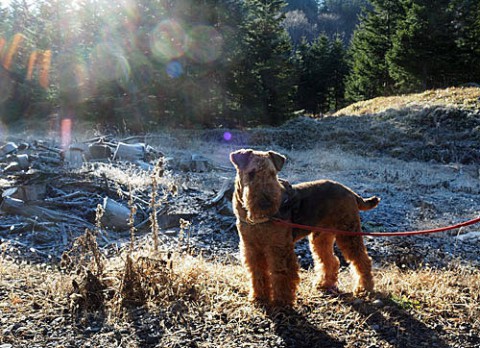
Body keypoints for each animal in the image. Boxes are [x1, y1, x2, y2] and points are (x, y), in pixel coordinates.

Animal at [231, 148, 380, 306]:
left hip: (348, 233)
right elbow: (258, 274)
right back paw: (324, 284)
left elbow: (282, 273)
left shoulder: (279, 247)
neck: (255, 220)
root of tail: (350, 192)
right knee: (332, 260)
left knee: (362, 260)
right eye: (251, 173)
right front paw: (258, 298)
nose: (266, 203)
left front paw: (282, 302)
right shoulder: (251, 248)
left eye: (272, 174)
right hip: (321, 237)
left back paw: (364, 289)